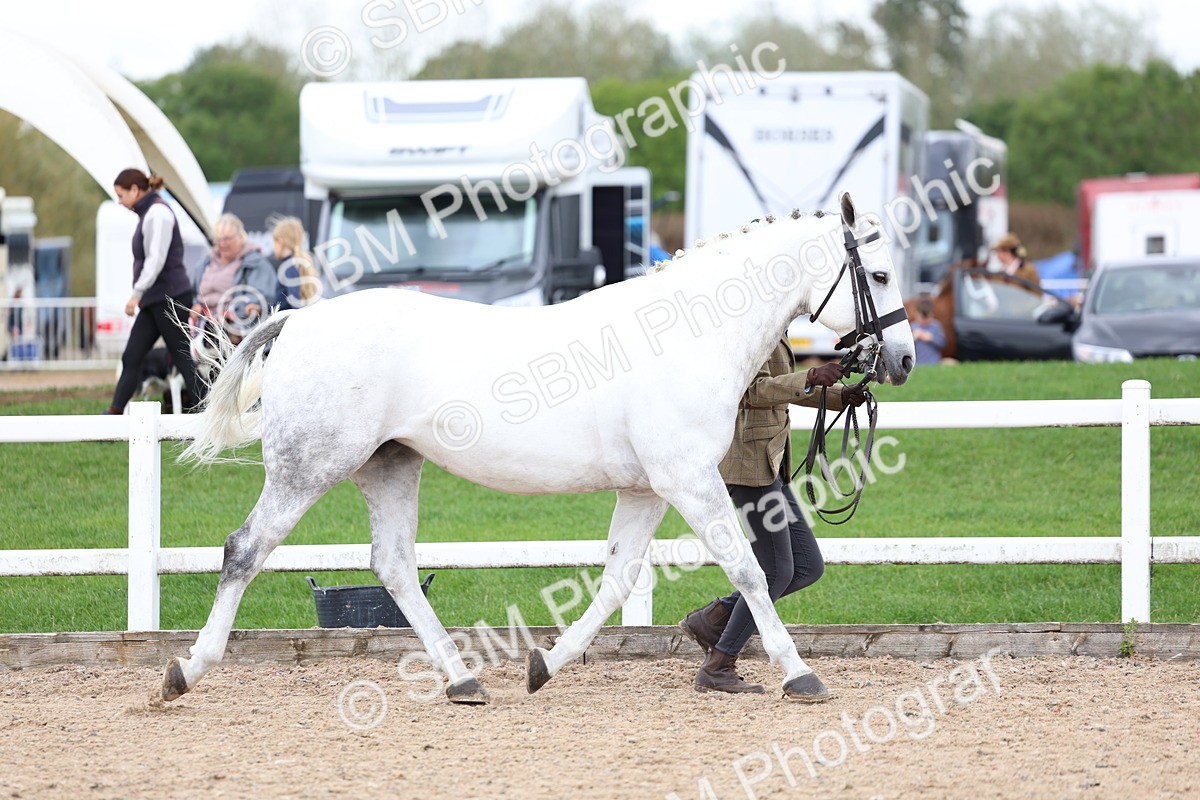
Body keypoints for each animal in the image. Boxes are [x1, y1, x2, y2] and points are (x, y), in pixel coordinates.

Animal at [161, 192, 915, 705]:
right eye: (878, 275)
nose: (903, 359)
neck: (684, 333)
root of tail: (296, 320)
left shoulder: (647, 489)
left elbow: (616, 581)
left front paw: (544, 665)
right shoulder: (690, 481)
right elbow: (751, 573)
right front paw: (801, 674)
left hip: (390, 465)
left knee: (394, 567)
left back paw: (463, 681)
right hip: (308, 467)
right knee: (245, 550)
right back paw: (184, 671)